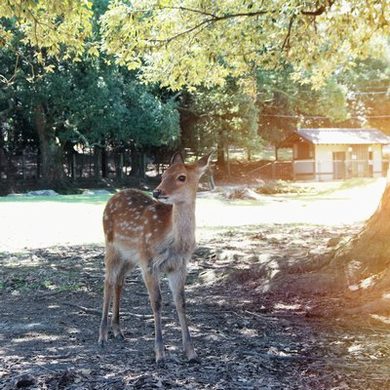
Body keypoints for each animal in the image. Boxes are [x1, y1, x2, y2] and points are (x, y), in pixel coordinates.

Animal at [99, 152, 212, 362]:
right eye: (164, 174)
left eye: (181, 177)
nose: (157, 192)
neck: (174, 242)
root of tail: (113, 197)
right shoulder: (149, 262)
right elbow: (157, 302)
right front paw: (160, 353)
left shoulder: (179, 265)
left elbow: (181, 301)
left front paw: (191, 352)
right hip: (112, 246)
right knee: (108, 282)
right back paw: (102, 336)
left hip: (130, 256)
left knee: (119, 281)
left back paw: (117, 330)